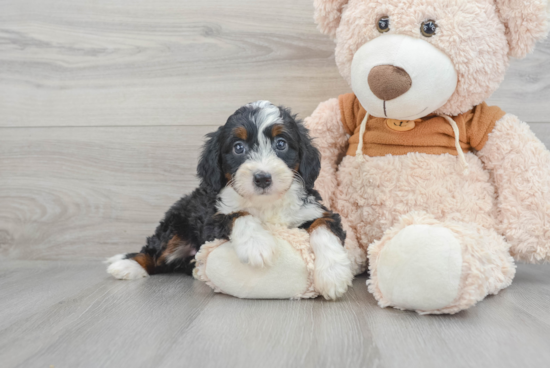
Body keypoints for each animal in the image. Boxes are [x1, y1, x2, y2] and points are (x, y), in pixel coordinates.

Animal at [106, 100, 356, 300]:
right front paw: (257, 245)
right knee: (155, 252)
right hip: (175, 224)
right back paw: (127, 265)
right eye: (238, 147)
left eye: (281, 144)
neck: (265, 203)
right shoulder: (211, 218)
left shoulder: (316, 211)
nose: (262, 178)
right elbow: (239, 215)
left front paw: (333, 274)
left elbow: (323, 227)